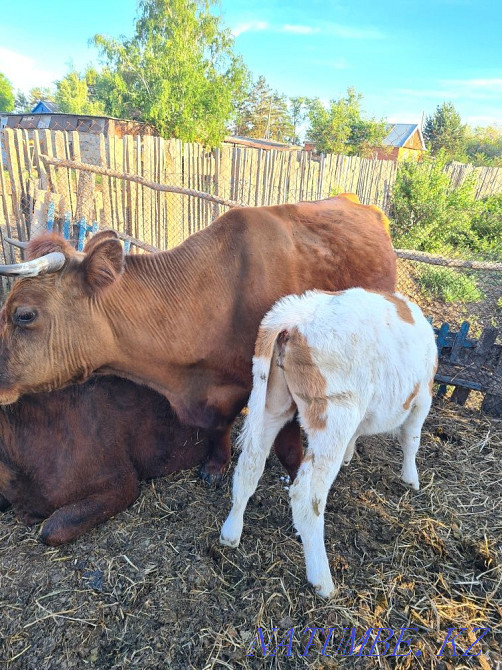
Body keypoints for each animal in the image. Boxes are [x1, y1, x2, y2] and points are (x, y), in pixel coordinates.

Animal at [220, 288, 437, 597]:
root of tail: (296, 314)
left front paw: (350, 455)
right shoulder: (423, 399)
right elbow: (412, 440)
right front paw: (411, 478)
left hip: (273, 403)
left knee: (250, 465)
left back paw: (231, 533)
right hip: (333, 418)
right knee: (306, 495)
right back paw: (322, 580)